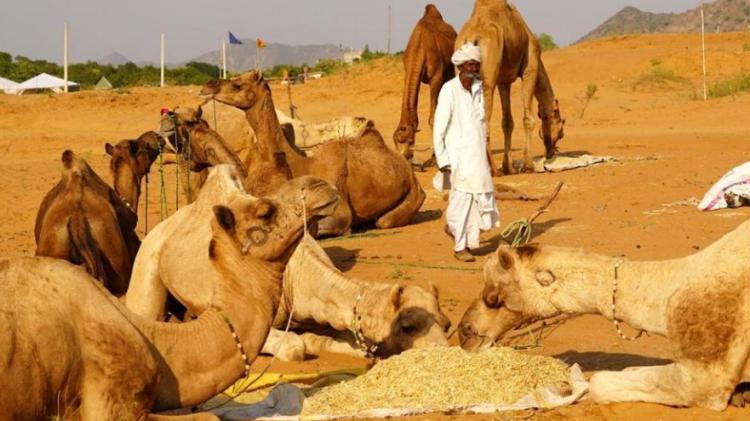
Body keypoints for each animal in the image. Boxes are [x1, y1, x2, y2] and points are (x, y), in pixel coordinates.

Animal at [201, 72, 428, 236]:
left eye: (238, 84)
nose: (207, 86)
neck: (301, 164)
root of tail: (410, 171)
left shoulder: (340, 211)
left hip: (414, 196)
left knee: (383, 221)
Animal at [394, 3, 458, 165]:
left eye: (411, 141)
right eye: (396, 143)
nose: (407, 157)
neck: (420, 46)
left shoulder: (435, 77)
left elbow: (433, 118)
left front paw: (435, 160)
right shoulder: (408, 71)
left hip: (450, 69)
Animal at [456, 0, 568, 174]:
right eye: (561, 131)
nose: (550, 152)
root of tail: (471, 36)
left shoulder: (504, 81)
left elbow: (507, 122)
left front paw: (509, 167)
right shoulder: (531, 67)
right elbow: (528, 118)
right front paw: (528, 165)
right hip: (488, 69)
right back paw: (492, 170)